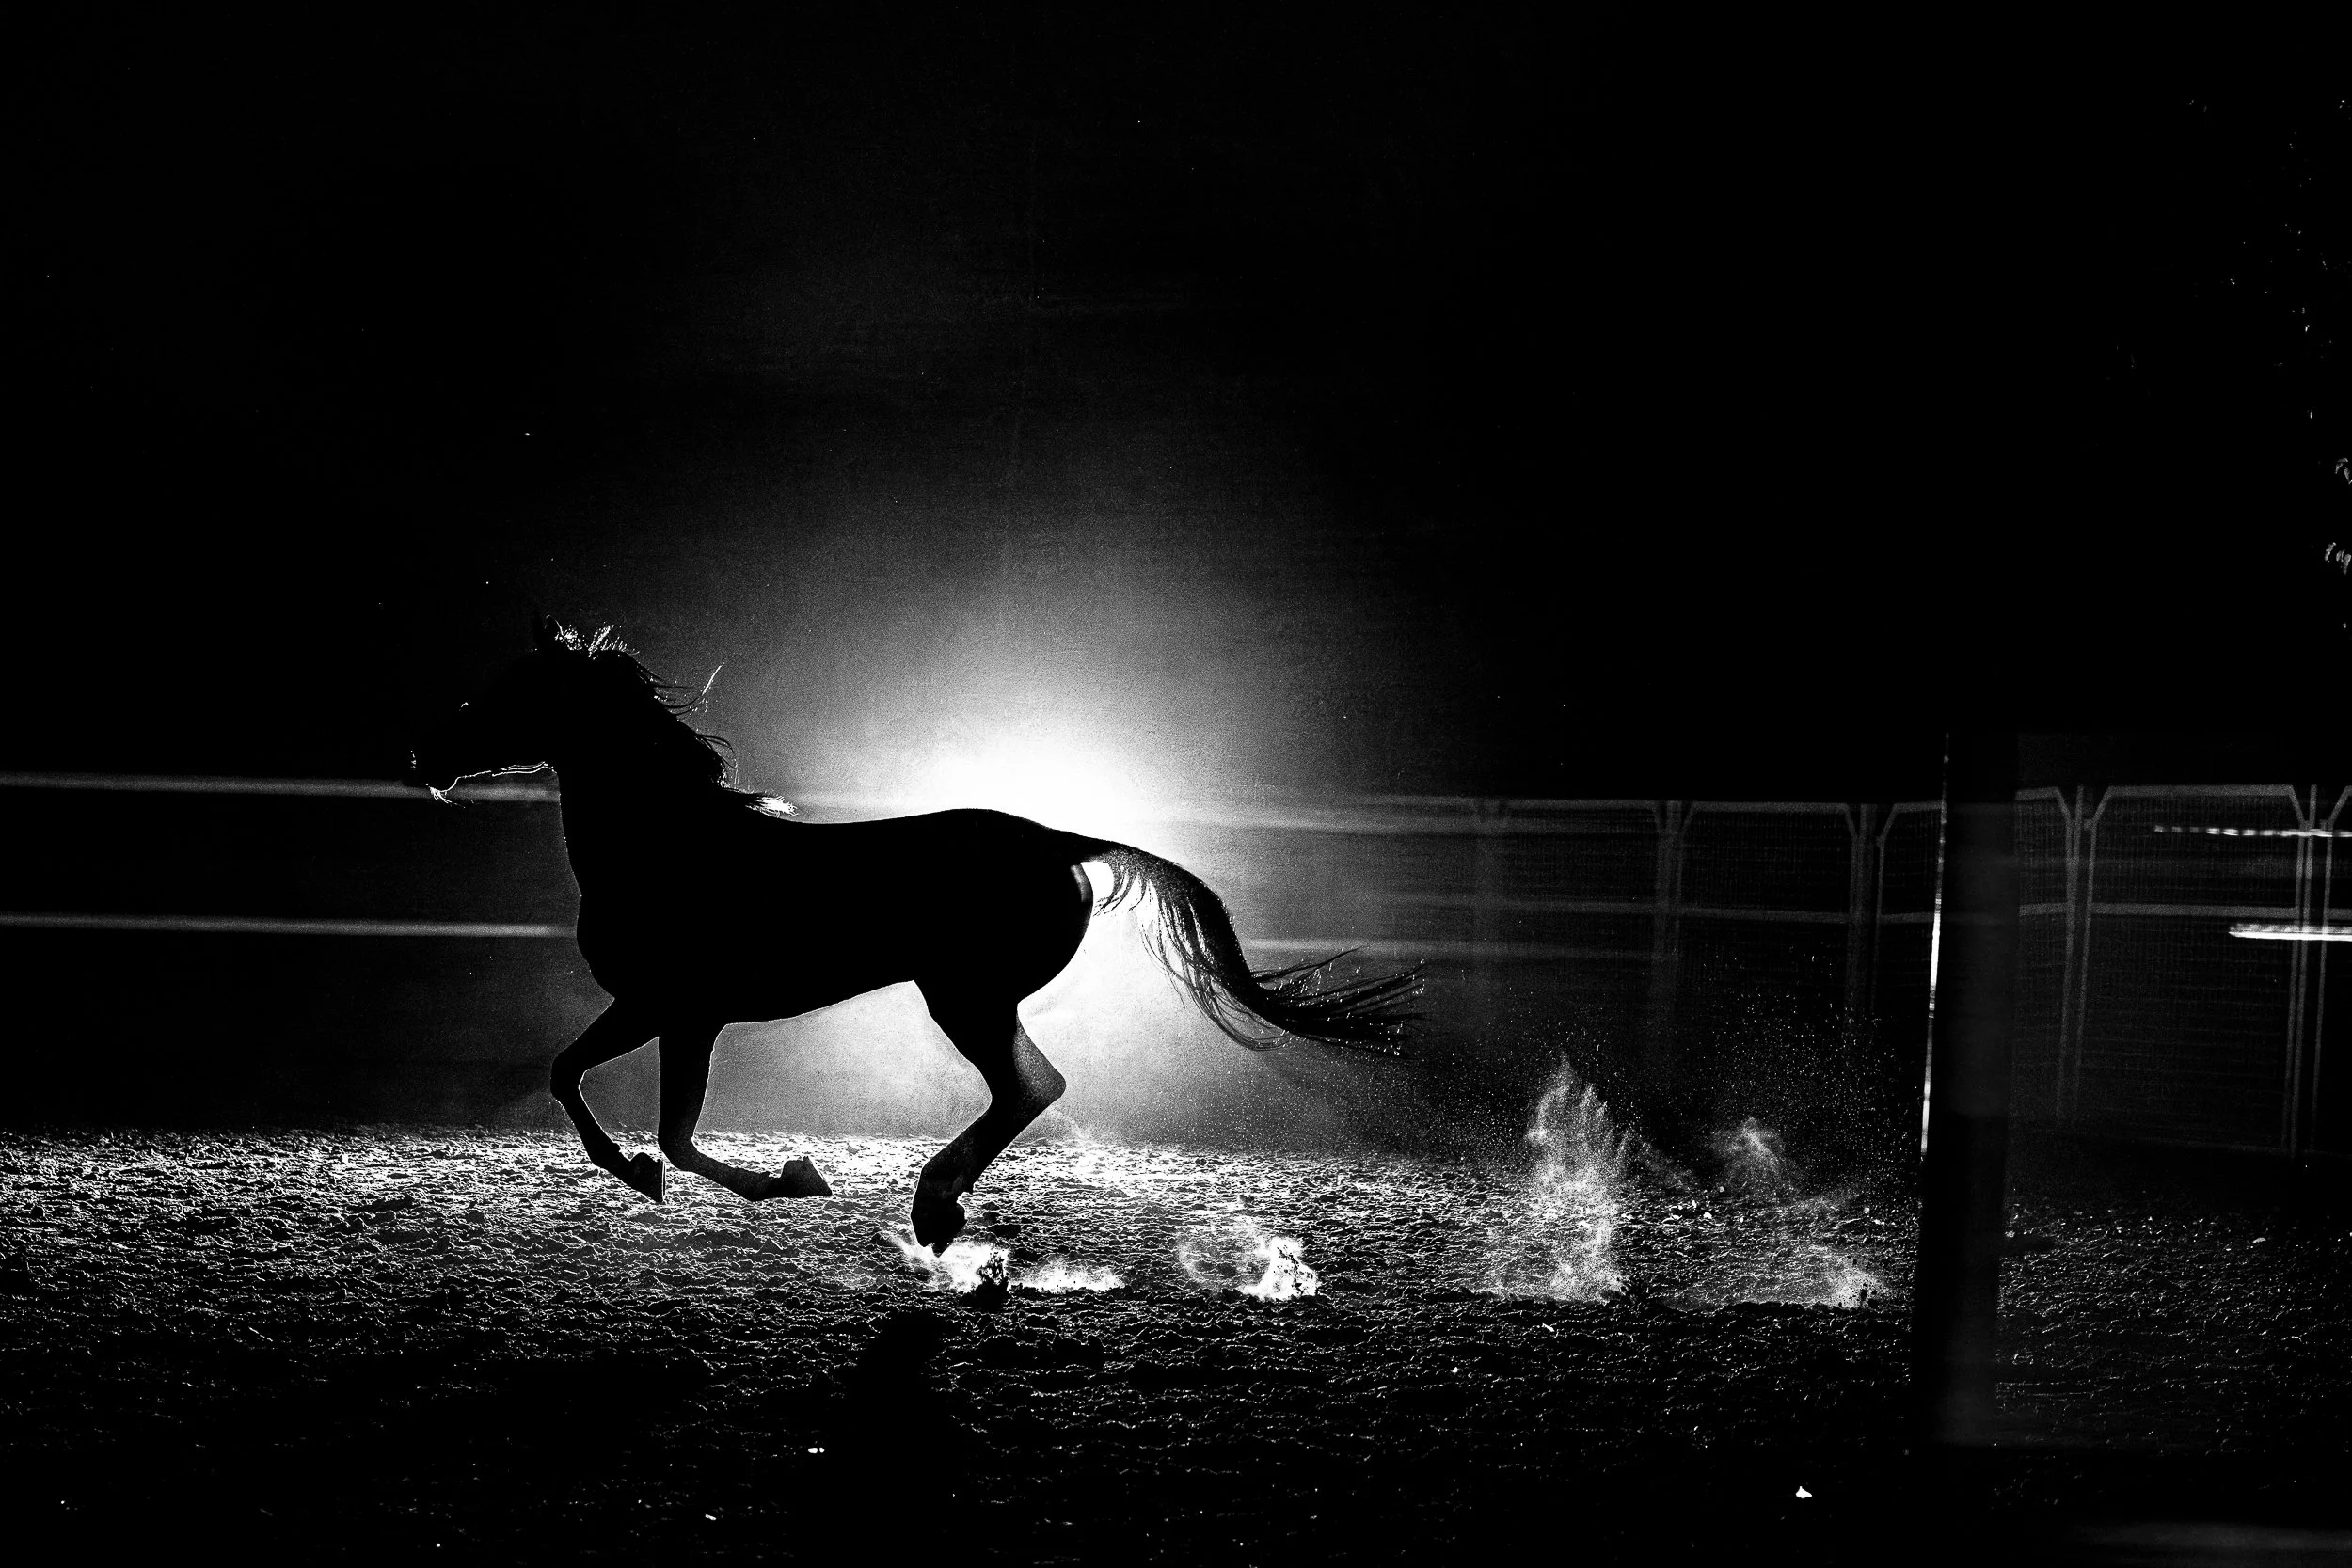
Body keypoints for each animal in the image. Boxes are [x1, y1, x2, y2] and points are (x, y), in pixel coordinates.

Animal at [408, 618, 1422, 1251]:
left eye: (517, 689)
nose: (427, 753)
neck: (670, 843)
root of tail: (1059, 839)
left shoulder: (674, 1007)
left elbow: (635, 1110)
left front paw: (757, 1175)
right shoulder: (672, 1012)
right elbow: (610, 1096)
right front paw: (676, 1171)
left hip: (963, 996)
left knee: (1032, 1086)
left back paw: (935, 1203)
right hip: (976, 998)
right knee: (1031, 1087)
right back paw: (941, 1204)